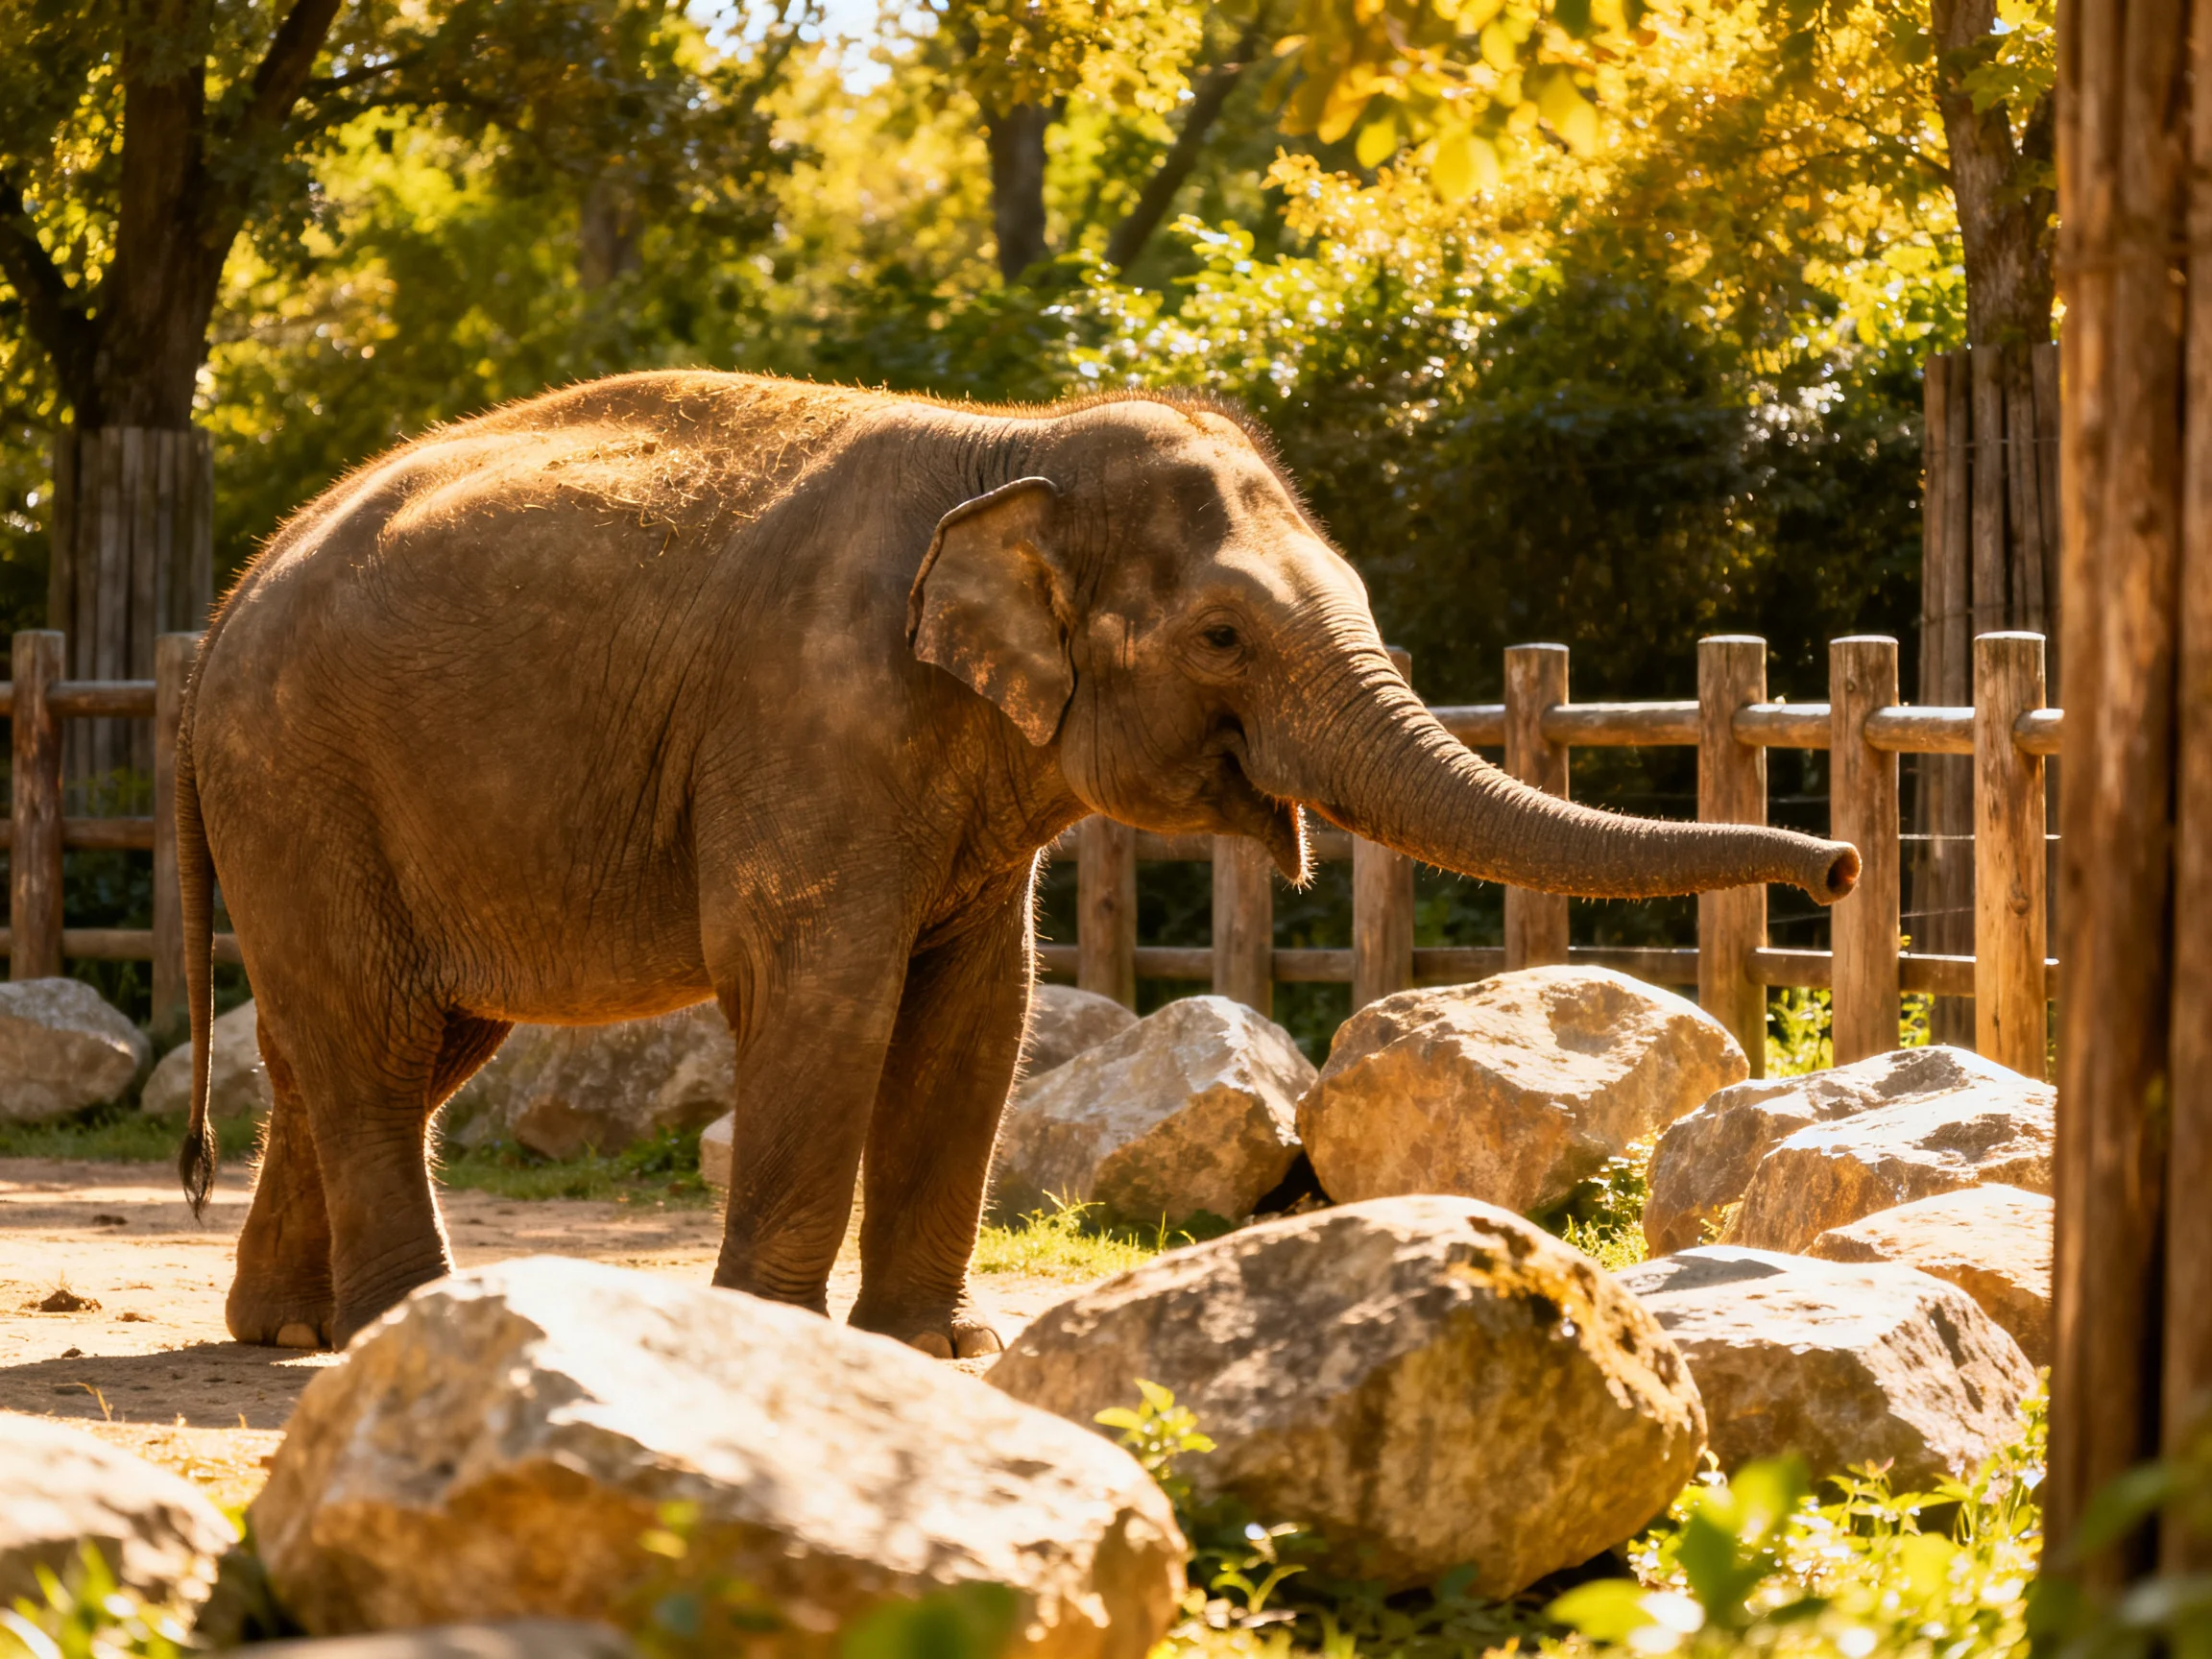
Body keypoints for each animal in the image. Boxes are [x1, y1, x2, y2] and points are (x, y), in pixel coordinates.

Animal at [175, 371, 1859, 1355]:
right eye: (1222, 635)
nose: (1839, 869)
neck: (1024, 439)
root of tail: (220, 612)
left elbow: (978, 1017)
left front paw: (939, 1354)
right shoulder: (815, 712)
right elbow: (825, 993)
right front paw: (791, 1347)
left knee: (387, 1045)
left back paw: (288, 1334)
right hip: (298, 775)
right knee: (375, 1037)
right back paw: (392, 1323)